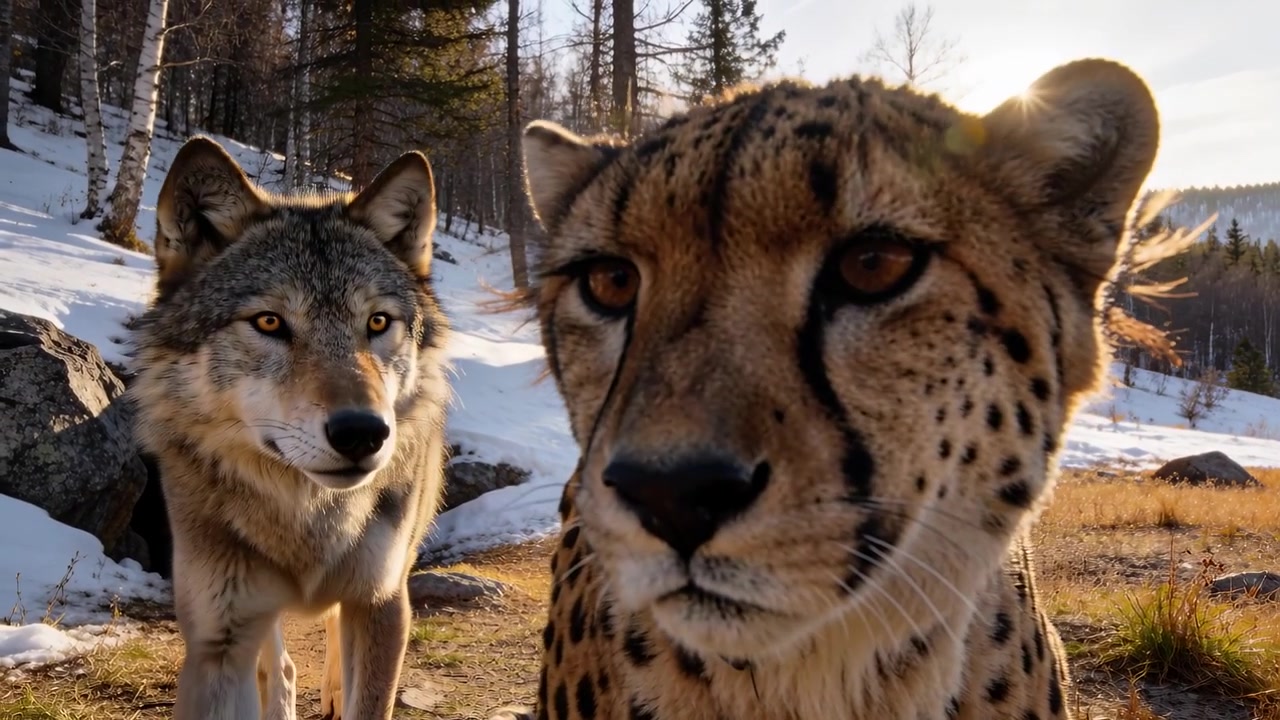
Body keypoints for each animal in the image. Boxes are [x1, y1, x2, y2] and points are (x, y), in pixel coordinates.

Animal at [126, 136, 451, 720]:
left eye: (377, 322)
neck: (308, 518)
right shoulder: (218, 636)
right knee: (278, 663)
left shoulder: (382, 602)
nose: (363, 433)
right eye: (269, 322)